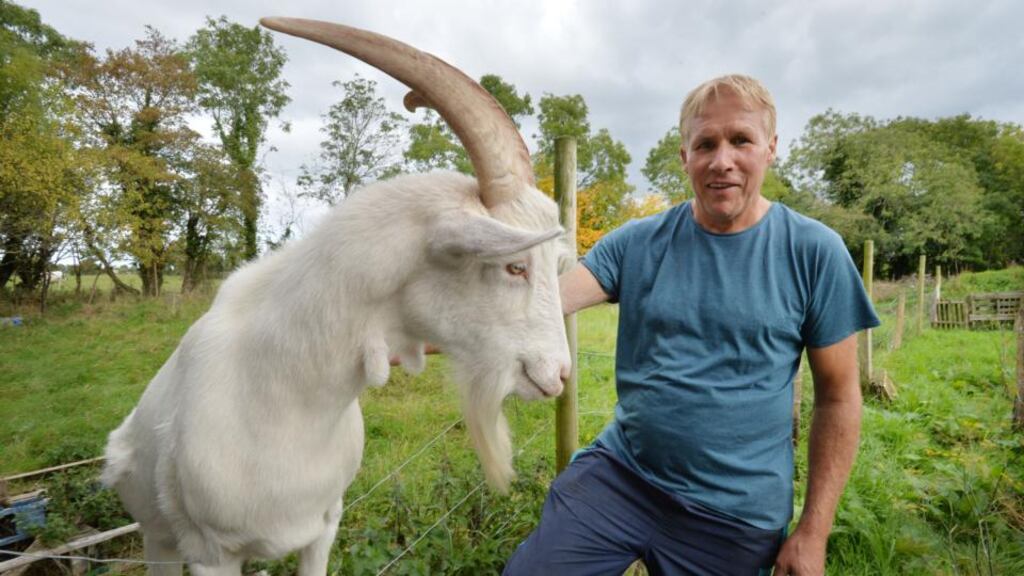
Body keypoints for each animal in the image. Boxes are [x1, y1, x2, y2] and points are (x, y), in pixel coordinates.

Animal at [102, 17, 572, 576]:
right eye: (515, 266)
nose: (559, 375)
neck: (286, 396)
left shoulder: (324, 524)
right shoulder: (210, 553)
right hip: (159, 540)